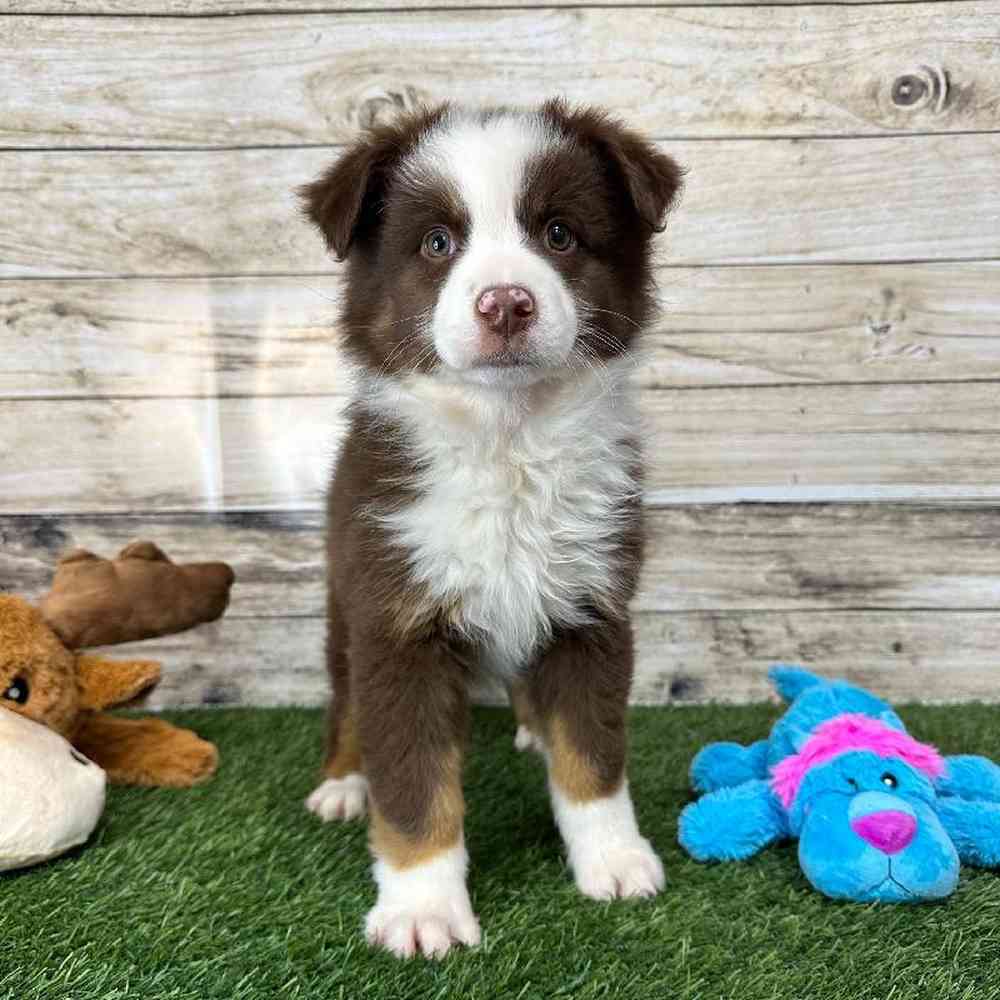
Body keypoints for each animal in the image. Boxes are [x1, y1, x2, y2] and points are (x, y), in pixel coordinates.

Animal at [300, 101, 684, 960]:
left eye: (560, 234)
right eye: (439, 243)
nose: (506, 303)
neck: (508, 440)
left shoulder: (591, 608)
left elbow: (593, 754)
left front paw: (613, 859)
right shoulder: (395, 622)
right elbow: (413, 783)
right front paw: (422, 909)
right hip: (343, 602)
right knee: (344, 699)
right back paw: (342, 781)